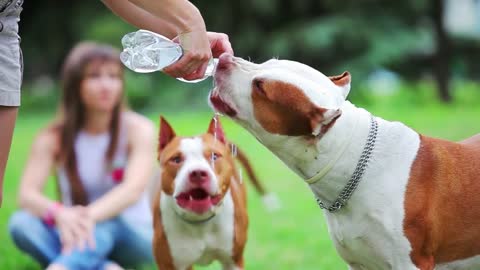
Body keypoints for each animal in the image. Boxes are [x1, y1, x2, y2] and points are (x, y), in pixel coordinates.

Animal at [152, 116, 276, 270]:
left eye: (214, 156)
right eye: (176, 159)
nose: (198, 173)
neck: (200, 222)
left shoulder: (234, 260)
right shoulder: (171, 264)